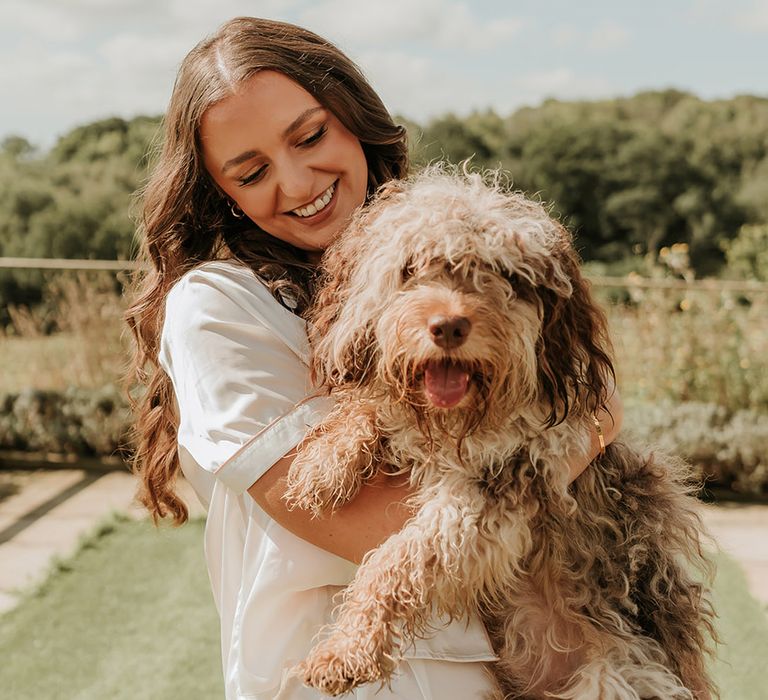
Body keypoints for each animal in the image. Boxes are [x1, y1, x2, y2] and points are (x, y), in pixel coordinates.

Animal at [284, 170, 716, 700]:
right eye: (412, 268)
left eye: (503, 275)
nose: (448, 326)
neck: (460, 421)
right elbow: (372, 407)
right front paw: (323, 463)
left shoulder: (498, 493)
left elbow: (395, 559)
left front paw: (344, 651)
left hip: (618, 679)